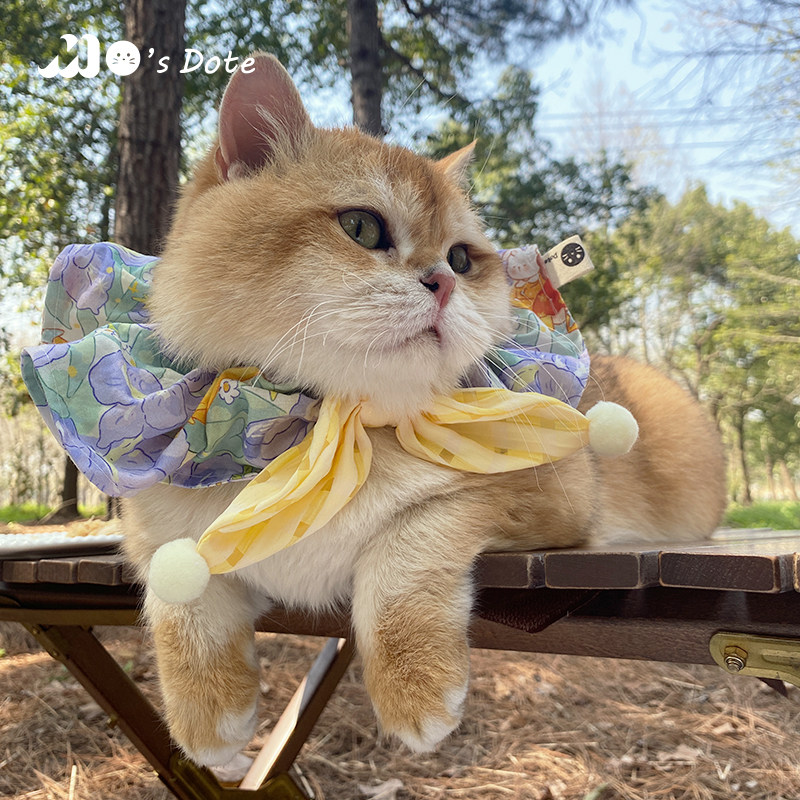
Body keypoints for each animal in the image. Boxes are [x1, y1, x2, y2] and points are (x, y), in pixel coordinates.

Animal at [121, 53, 727, 772]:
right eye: (361, 227)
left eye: (462, 259)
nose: (442, 282)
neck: (324, 430)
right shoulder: (153, 529)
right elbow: (173, 593)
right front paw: (208, 713)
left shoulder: (547, 500)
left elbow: (405, 542)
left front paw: (414, 686)